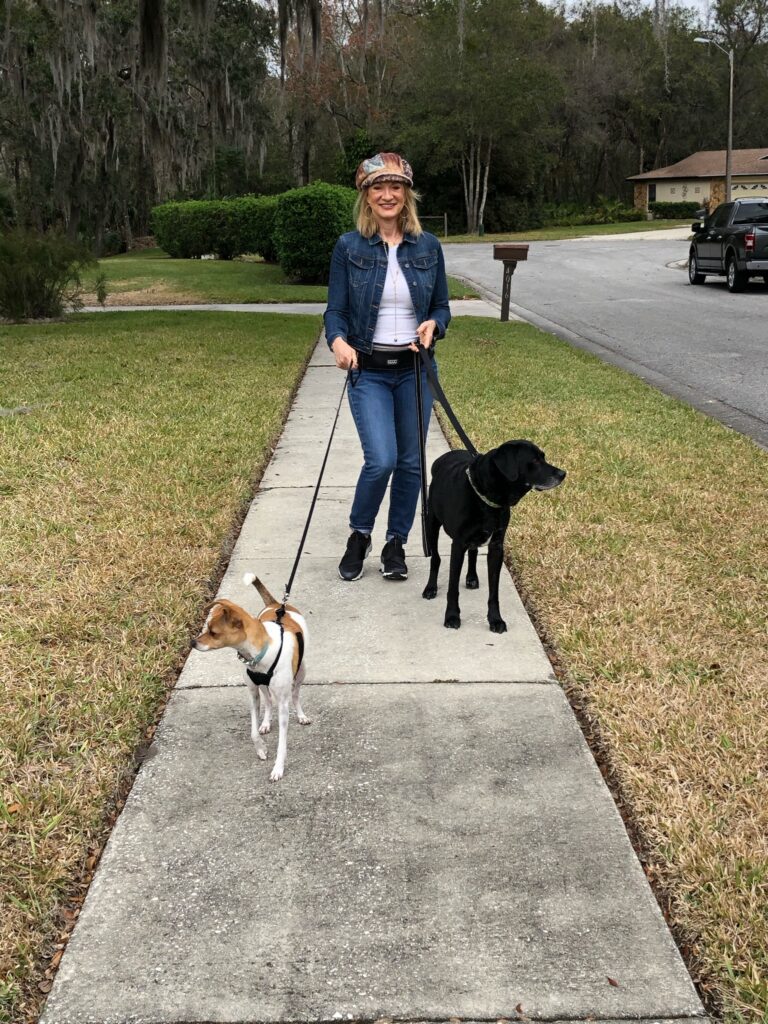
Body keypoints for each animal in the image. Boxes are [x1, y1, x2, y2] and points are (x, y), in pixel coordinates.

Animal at [193, 573, 311, 778]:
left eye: (213, 632)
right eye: (206, 627)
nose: (192, 643)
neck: (260, 652)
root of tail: (277, 604)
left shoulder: (283, 704)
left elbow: (282, 744)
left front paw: (278, 768)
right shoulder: (253, 693)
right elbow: (253, 732)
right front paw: (261, 748)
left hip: (301, 671)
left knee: (295, 694)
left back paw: (301, 715)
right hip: (263, 687)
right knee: (268, 701)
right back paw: (265, 723)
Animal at [421, 440, 565, 630]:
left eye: (543, 457)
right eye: (534, 460)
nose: (563, 474)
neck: (485, 497)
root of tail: (440, 460)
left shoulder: (496, 546)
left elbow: (493, 591)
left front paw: (495, 619)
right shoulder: (458, 545)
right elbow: (452, 588)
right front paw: (451, 616)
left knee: (473, 551)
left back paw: (472, 577)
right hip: (431, 524)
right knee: (436, 558)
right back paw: (431, 587)